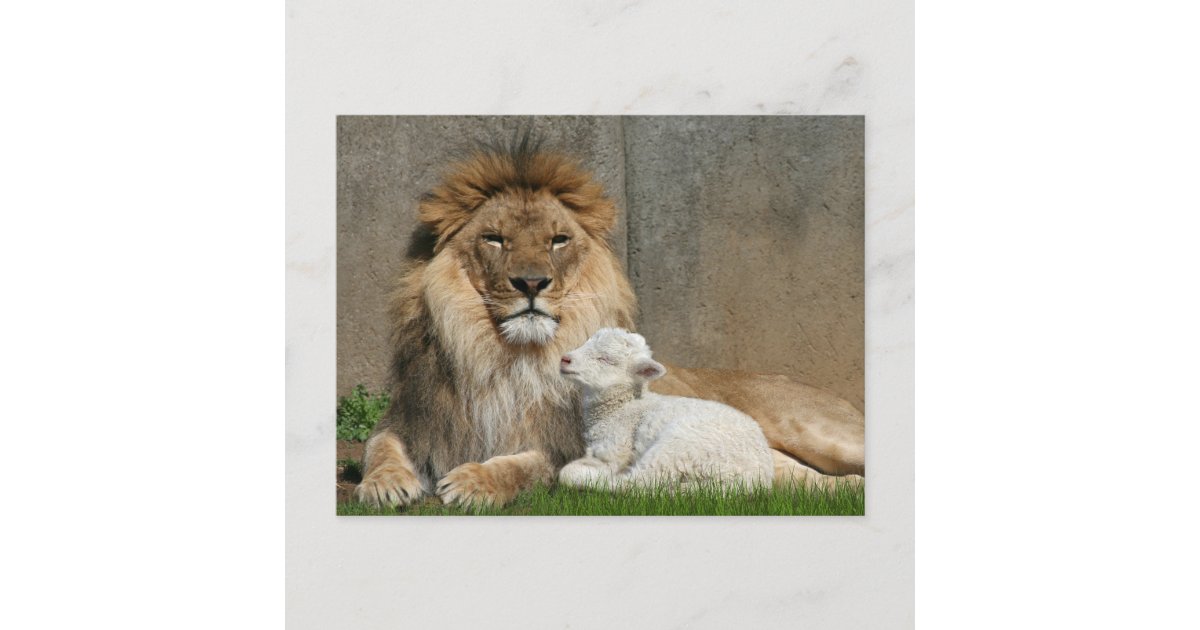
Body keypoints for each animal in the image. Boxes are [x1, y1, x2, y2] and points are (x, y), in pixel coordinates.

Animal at [557, 328, 774, 492]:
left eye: (605, 359)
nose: (564, 359)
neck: (623, 407)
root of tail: (749, 481)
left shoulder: (615, 447)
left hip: (678, 448)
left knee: (637, 484)